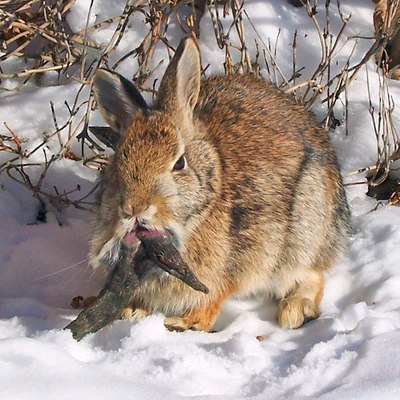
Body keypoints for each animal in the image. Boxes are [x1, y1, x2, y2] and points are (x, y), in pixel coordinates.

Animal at [90, 36, 350, 332]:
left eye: (179, 163)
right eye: (117, 162)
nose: (134, 209)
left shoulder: (232, 267)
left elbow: (213, 297)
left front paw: (186, 323)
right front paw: (133, 311)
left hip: (305, 230)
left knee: (312, 274)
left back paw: (295, 310)